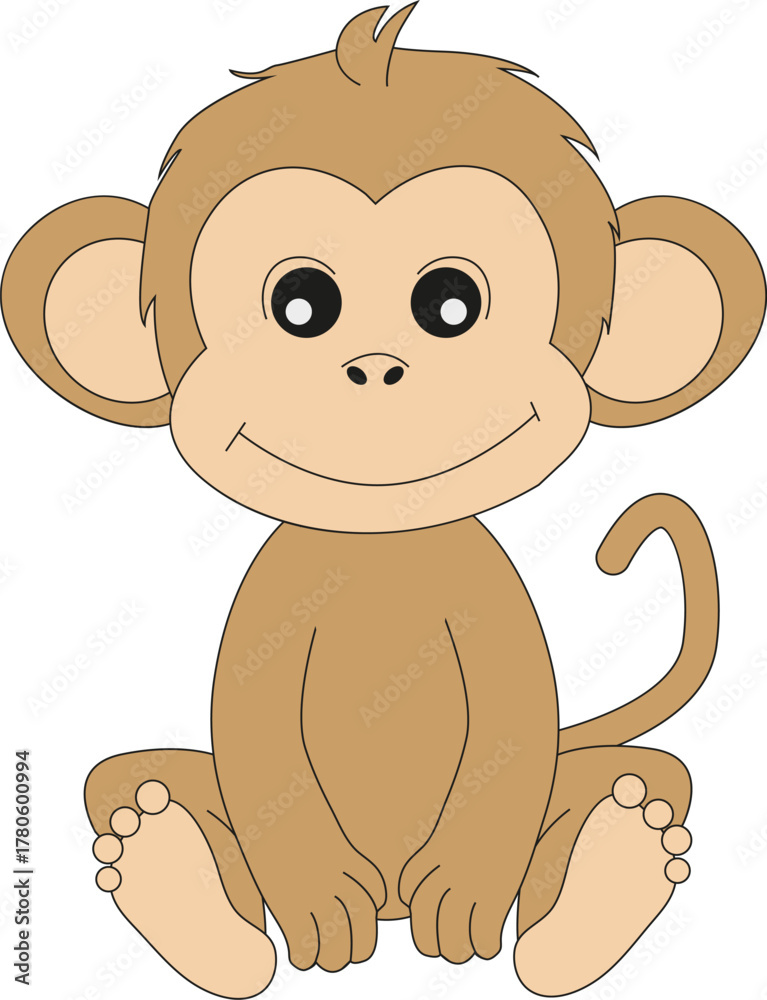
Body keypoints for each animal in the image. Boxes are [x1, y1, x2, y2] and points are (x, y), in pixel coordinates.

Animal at [2, 3, 764, 997]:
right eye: (299, 303)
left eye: (450, 303)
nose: (374, 367)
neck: (380, 548)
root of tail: (396, 905)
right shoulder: (270, 608)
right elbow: (254, 740)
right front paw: (315, 898)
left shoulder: (491, 605)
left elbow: (513, 732)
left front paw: (471, 892)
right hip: (162, 795)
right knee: (132, 784)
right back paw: (167, 866)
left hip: (596, 792)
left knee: (631, 781)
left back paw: (613, 864)